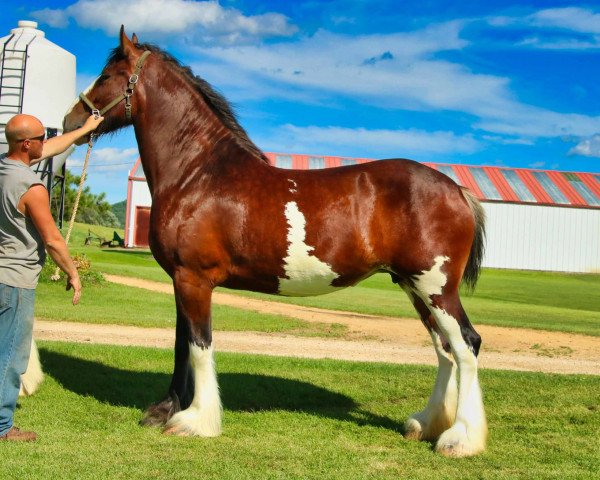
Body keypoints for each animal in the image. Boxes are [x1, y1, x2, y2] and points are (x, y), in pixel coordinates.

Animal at [64, 27, 488, 458]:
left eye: (106, 76)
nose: (71, 120)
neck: (198, 174)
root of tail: (456, 190)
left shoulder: (193, 280)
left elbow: (200, 347)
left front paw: (196, 422)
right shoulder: (182, 280)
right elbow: (182, 346)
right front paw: (165, 410)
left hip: (436, 289)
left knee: (466, 345)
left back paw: (460, 438)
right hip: (413, 286)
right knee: (445, 350)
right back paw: (426, 424)